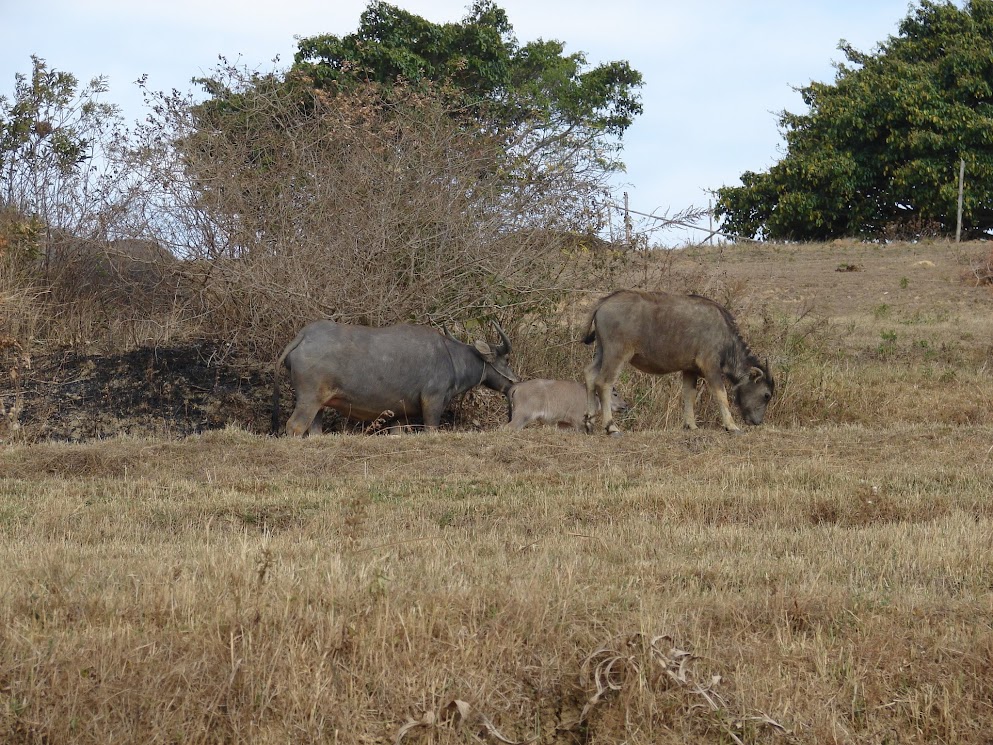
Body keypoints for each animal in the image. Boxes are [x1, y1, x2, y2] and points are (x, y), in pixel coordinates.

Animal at [274, 320, 520, 436]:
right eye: (507, 359)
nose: (514, 382)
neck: (450, 357)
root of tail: (304, 336)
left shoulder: (401, 415)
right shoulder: (433, 402)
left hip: (319, 405)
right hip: (308, 400)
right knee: (294, 426)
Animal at [580, 288, 776, 434]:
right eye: (766, 395)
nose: (757, 421)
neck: (725, 336)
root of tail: (604, 302)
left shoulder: (690, 370)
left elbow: (689, 395)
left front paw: (691, 425)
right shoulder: (711, 367)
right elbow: (721, 395)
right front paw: (732, 426)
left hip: (602, 352)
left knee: (589, 375)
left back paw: (589, 423)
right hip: (617, 355)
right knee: (604, 383)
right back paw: (611, 427)